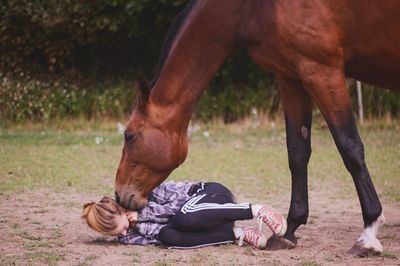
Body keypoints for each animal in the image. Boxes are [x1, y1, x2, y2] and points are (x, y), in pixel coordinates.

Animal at [113, 0, 400, 256]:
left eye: (129, 135)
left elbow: (350, 148)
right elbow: (297, 152)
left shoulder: (322, 72)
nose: (119, 194)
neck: (255, 7)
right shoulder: (292, 77)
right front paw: (288, 231)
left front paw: (368, 233)